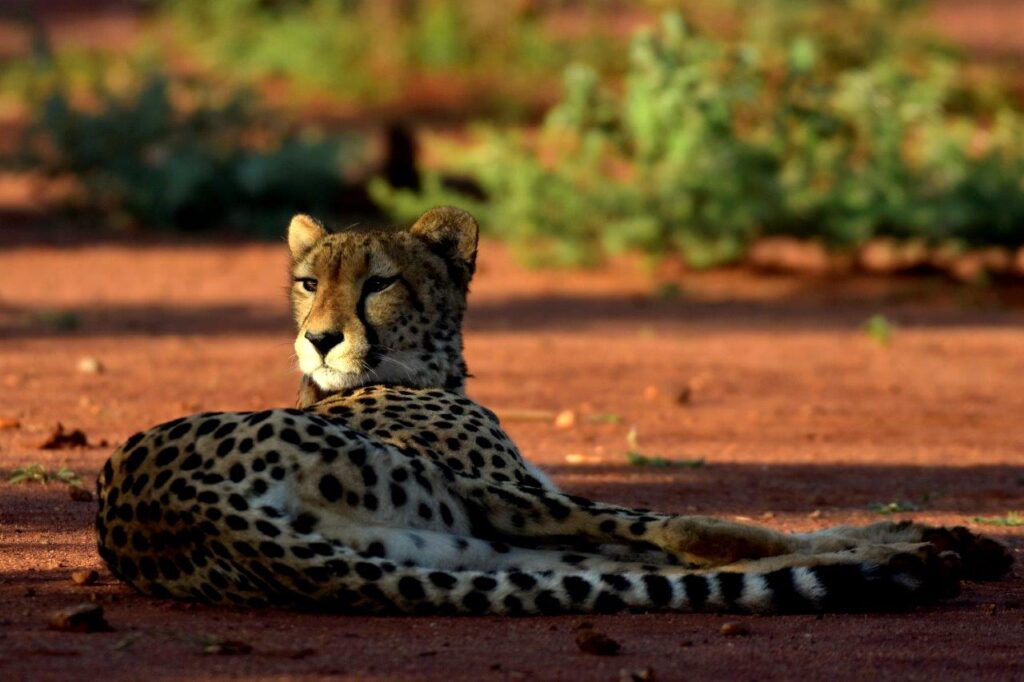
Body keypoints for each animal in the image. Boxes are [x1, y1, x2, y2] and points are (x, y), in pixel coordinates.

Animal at [96, 206, 1013, 615]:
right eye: (305, 281)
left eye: (379, 282)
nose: (319, 338)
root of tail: (170, 510)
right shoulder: (517, 490)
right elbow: (717, 527)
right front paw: (919, 535)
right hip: (483, 505)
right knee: (685, 537)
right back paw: (918, 554)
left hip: (447, 542)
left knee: (634, 565)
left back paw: (932, 551)